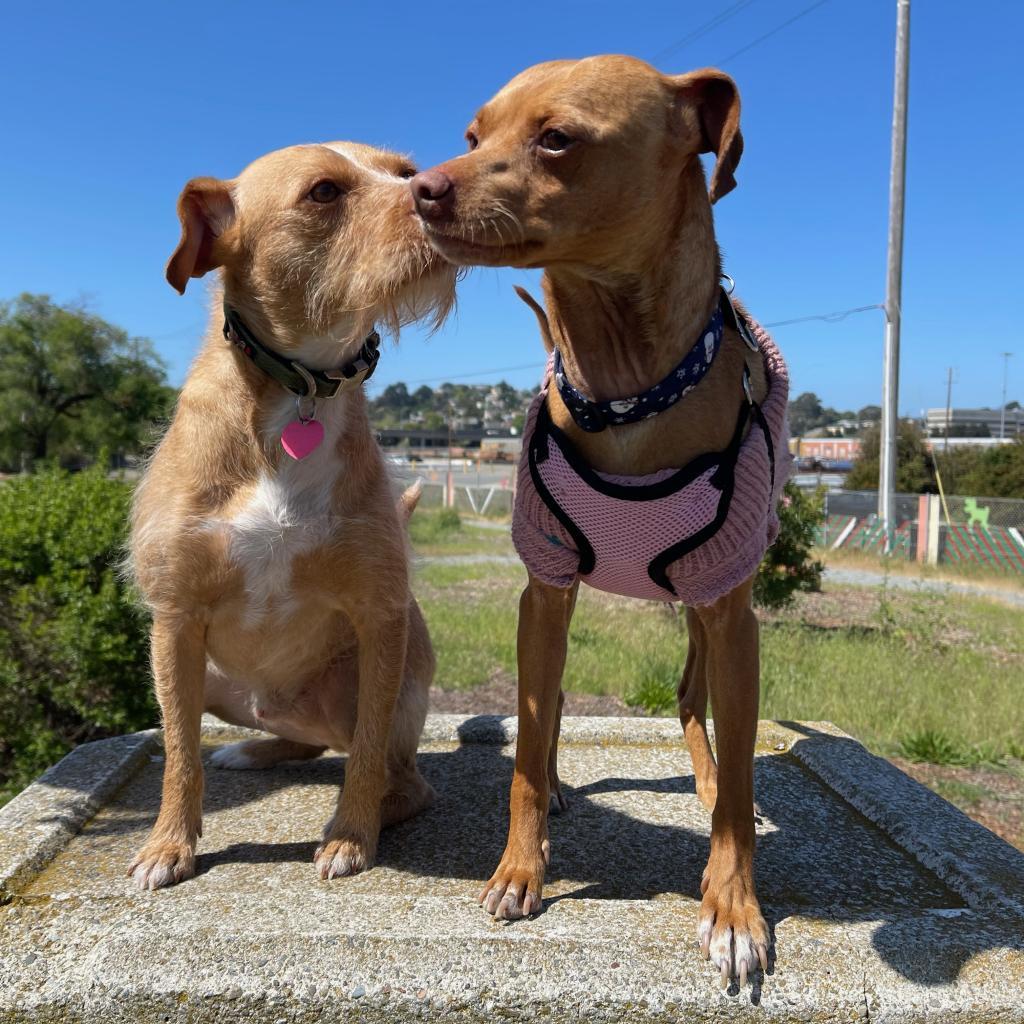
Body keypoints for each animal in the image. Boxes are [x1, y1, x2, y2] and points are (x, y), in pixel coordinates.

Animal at [125, 140, 454, 892]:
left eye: (404, 170)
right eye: (323, 191)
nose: (438, 190)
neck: (299, 390)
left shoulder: (379, 617)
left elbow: (366, 758)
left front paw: (352, 836)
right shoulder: (174, 621)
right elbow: (178, 753)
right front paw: (168, 845)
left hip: (360, 685)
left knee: (396, 774)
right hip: (211, 681)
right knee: (282, 746)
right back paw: (250, 753)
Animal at [411, 56, 778, 991]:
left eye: (557, 138)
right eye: (474, 135)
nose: (419, 190)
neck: (624, 394)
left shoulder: (730, 606)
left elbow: (740, 784)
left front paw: (734, 909)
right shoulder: (542, 588)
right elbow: (526, 745)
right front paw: (520, 866)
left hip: (705, 605)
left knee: (693, 703)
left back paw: (707, 782)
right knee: (552, 712)